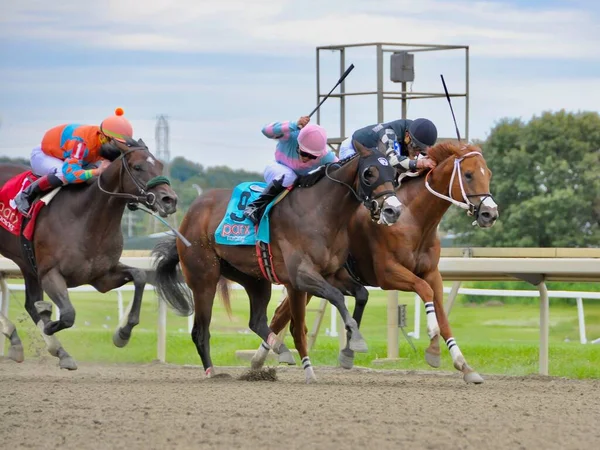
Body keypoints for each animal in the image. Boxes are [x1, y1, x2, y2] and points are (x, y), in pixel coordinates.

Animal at [0, 140, 178, 370]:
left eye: (160, 165)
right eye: (138, 167)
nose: (169, 200)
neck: (87, 219)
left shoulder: (101, 277)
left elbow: (139, 276)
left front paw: (123, 333)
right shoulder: (50, 273)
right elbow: (67, 315)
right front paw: (49, 322)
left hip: (26, 263)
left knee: (31, 303)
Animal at [152, 142, 404, 382]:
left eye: (392, 172)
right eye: (369, 173)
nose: (393, 210)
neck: (320, 212)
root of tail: (189, 215)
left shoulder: (330, 274)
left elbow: (361, 294)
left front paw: (348, 351)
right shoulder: (300, 276)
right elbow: (330, 302)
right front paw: (345, 348)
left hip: (254, 278)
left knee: (256, 321)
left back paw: (279, 348)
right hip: (204, 277)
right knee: (200, 331)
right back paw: (212, 372)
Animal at [255, 141, 500, 384]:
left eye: (488, 173)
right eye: (468, 175)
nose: (490, 214)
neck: (413, 219)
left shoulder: (432, 273)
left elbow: (441, 313)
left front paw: (464, 366)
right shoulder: (388, 273)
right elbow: (424, 290)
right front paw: (432, 342)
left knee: (281, 315)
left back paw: (259, 361)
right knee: (281, 315)